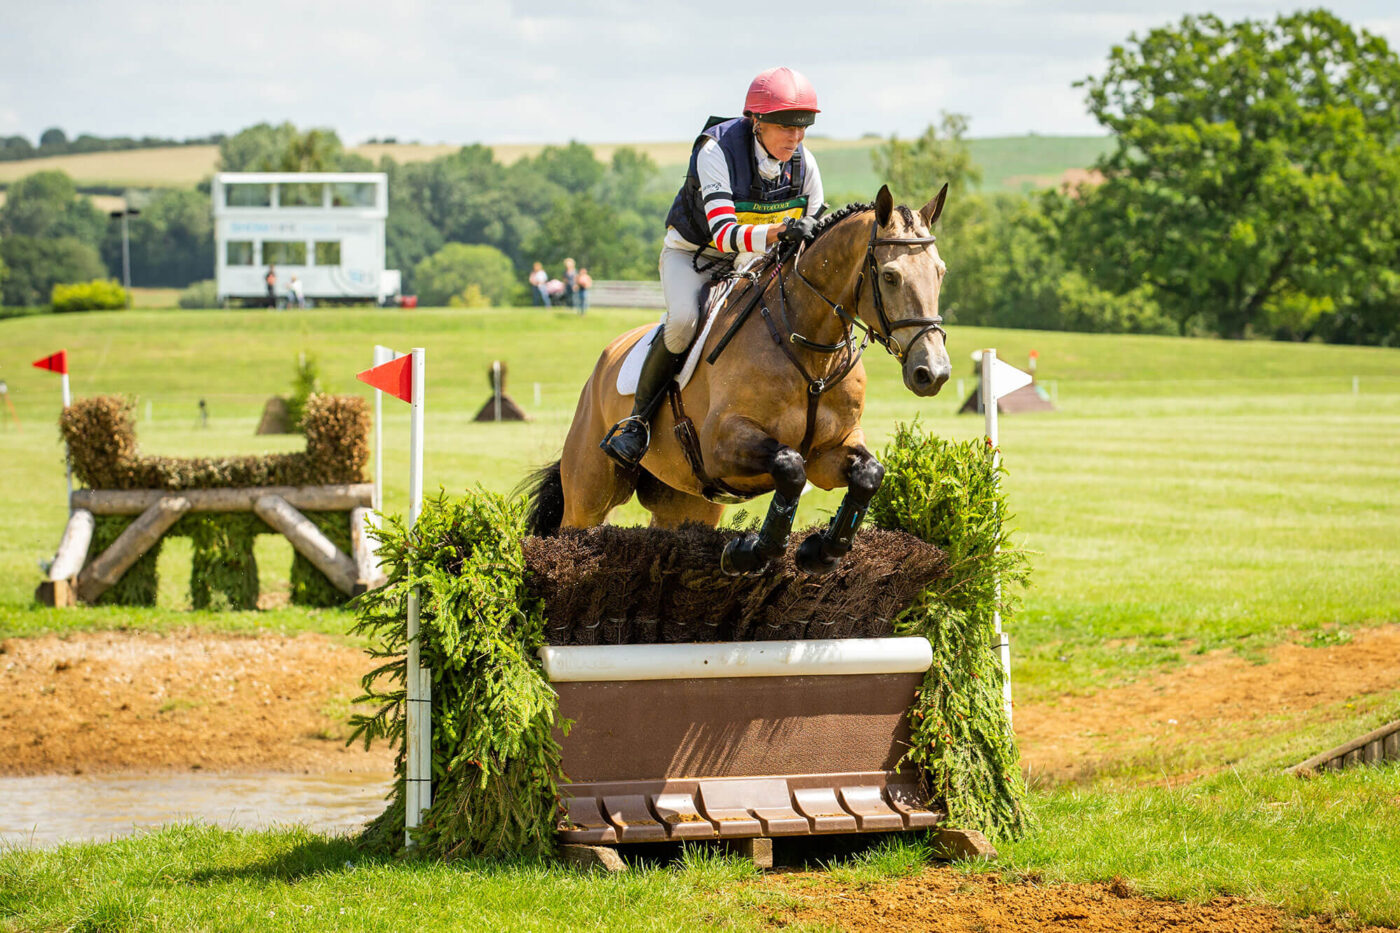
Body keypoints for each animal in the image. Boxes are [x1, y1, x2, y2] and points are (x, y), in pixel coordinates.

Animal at [523, 182, 952, 574]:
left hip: (685, 501)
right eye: (891, 276)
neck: (810, 352)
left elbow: (867, 474)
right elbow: (789, 466)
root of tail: (606, 360)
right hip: (590, 492)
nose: (933, 372)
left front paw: (819, 552)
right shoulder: (721, 445)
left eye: (940, 272)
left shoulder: (831, 452)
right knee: (575, 521)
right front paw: (749, 552)